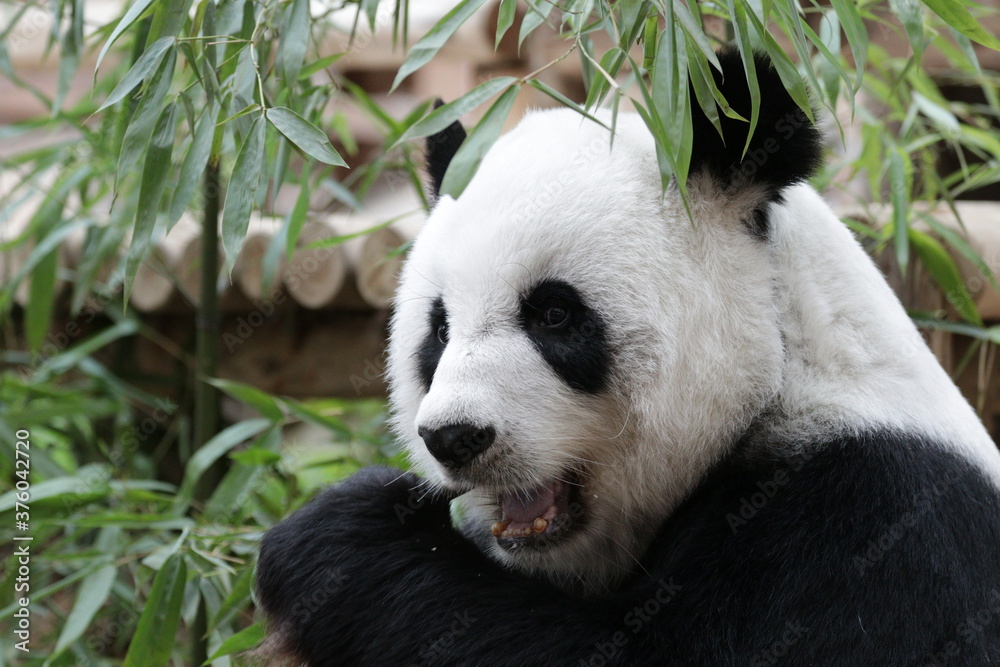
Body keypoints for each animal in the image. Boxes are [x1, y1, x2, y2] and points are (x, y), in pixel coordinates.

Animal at [256, 50, 1000, 666]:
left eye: (554, 314)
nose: (455, 436)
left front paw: (340, 533)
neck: (787, 363)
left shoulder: (872, 524)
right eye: (438, 330)